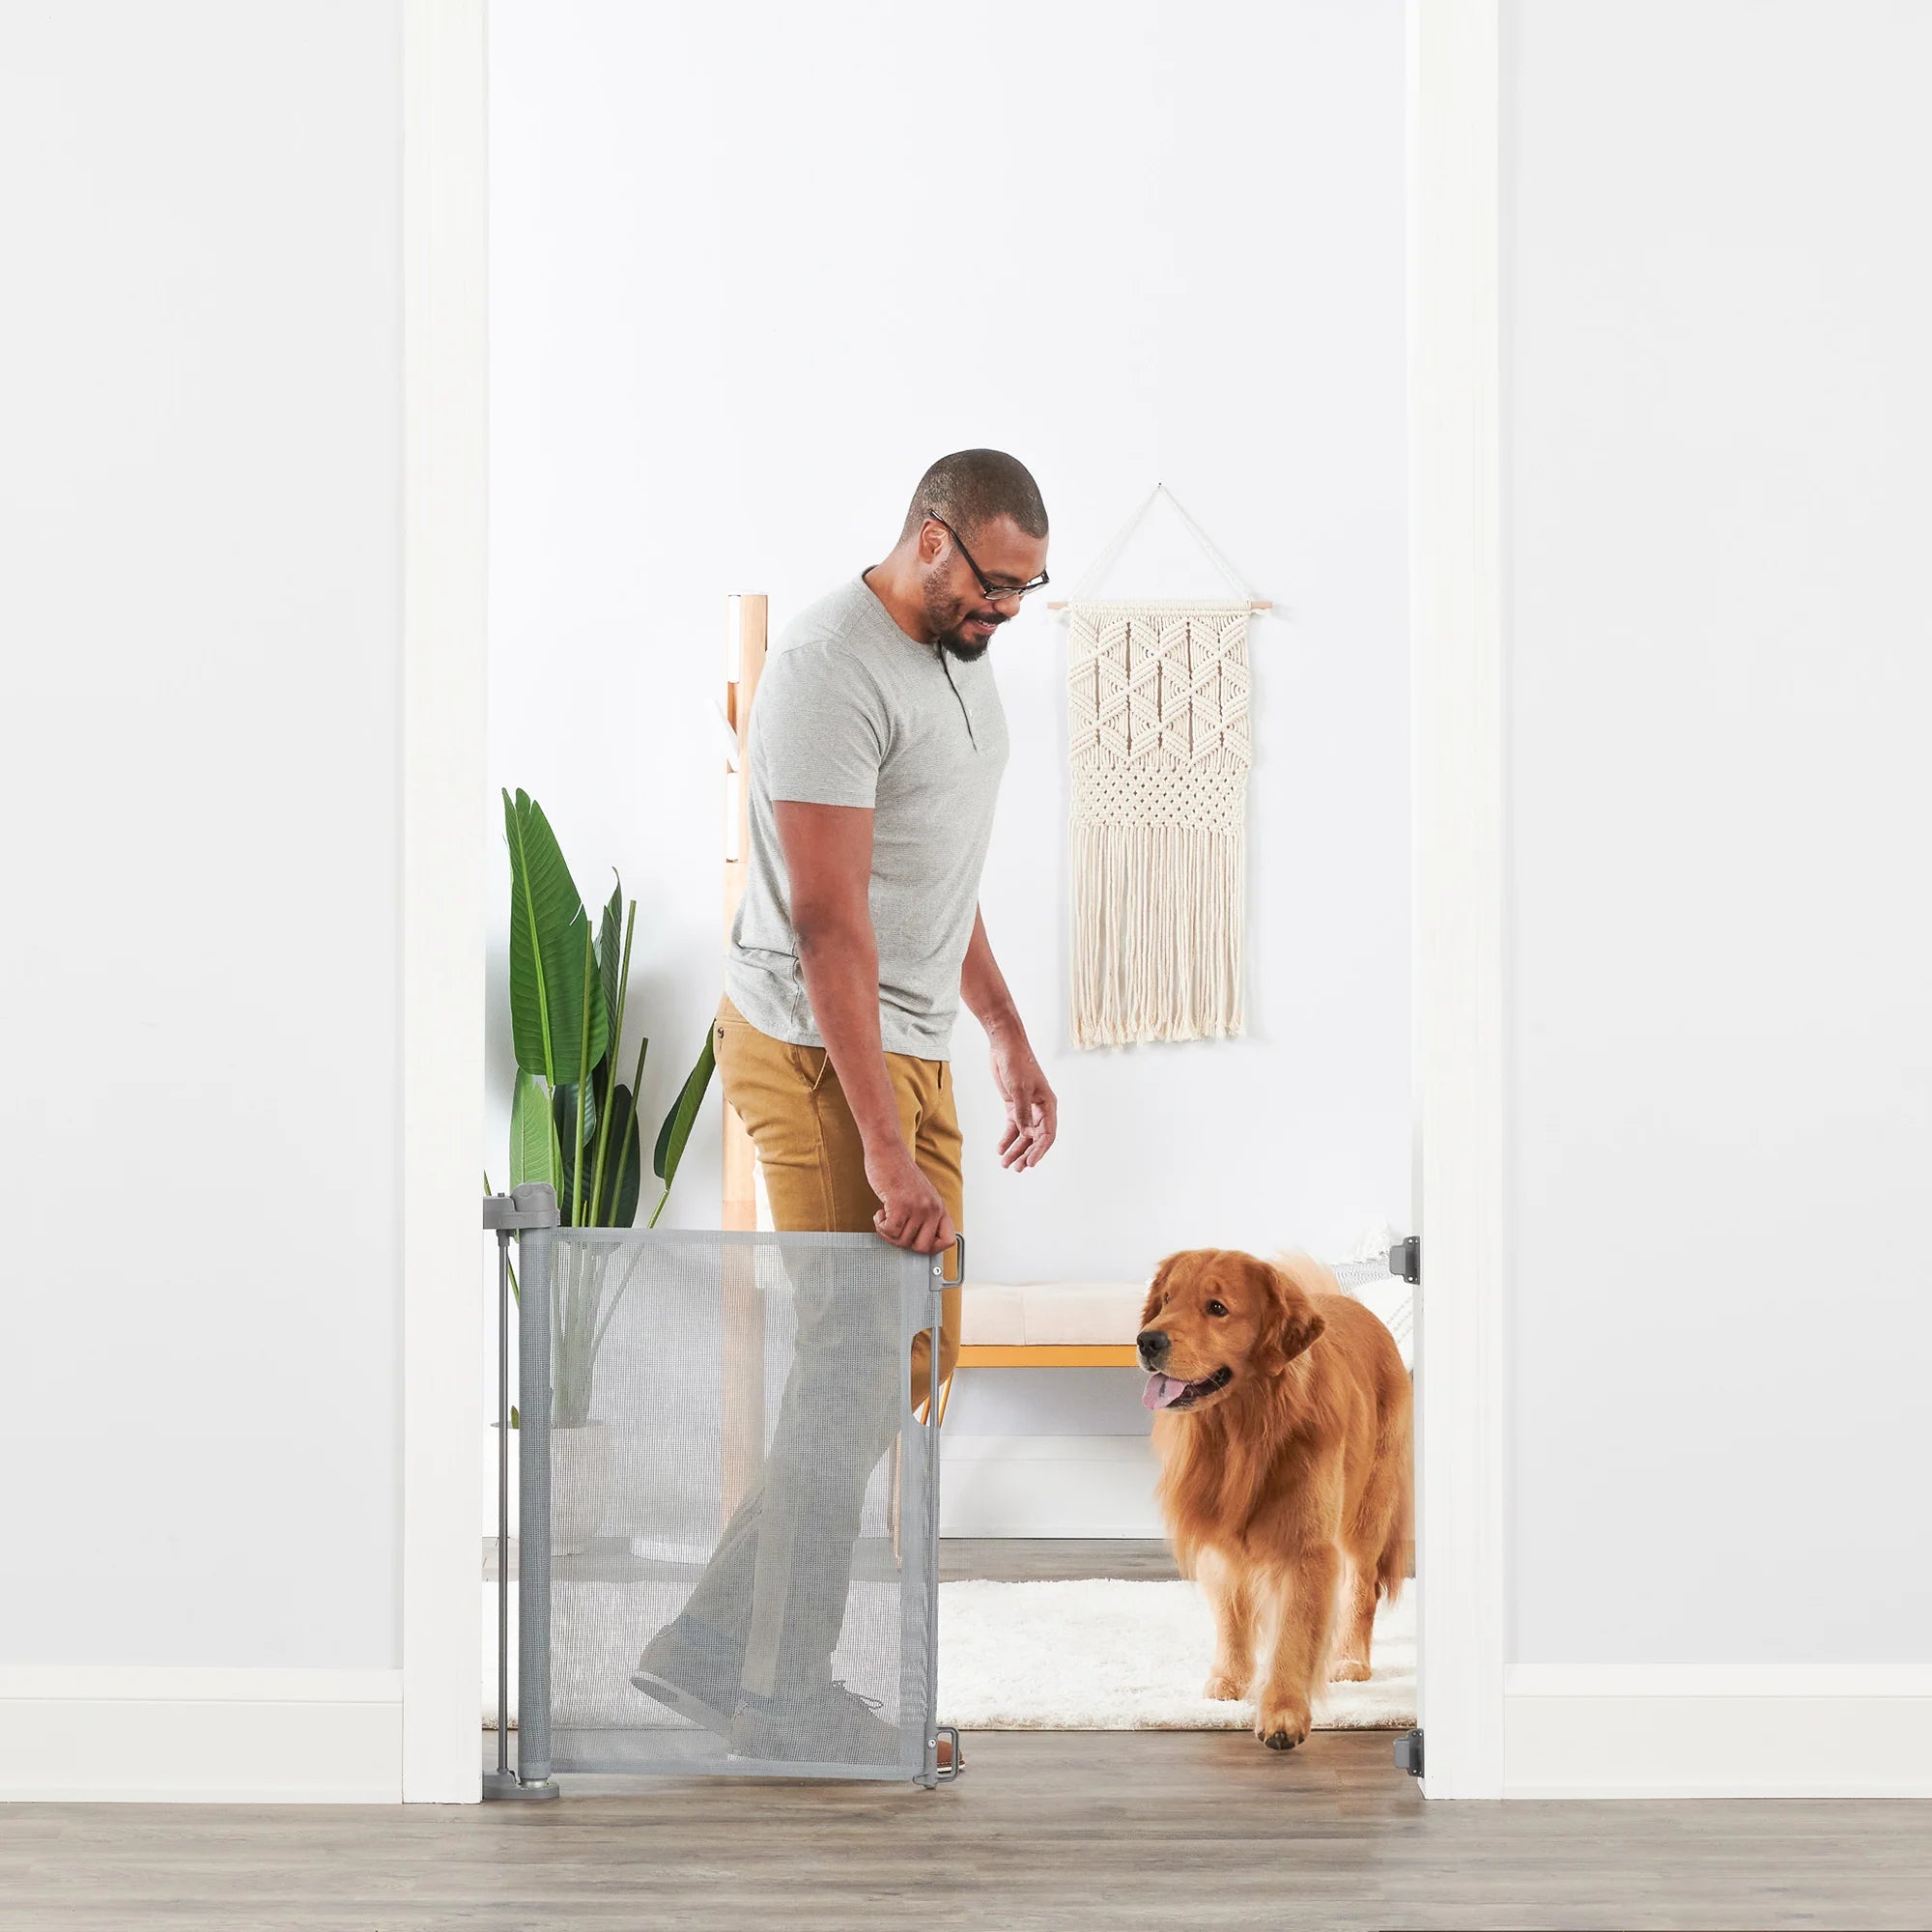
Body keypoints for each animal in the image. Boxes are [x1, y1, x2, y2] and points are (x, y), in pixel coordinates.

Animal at [1136, 1244, 1414, 1762]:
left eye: (1216, 1308)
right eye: (1165, 1300)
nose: (1147, 1341)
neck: (1243, 1431)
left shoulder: (1307, 1548)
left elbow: (1294, 1636)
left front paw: (1283, 1715)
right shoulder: (1221, 1542)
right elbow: (1232, 1616)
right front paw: (1229, 1680)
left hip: (1366, 1513)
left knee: (1361, 1590)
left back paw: (1351, 1659)